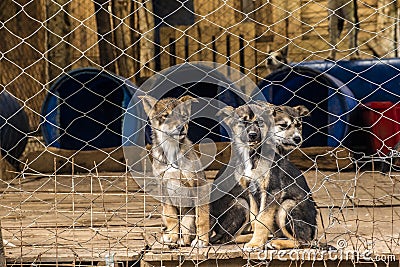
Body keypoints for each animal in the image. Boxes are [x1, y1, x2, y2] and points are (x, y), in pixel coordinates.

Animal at [140, 95, 209, 248]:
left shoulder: (198, 184)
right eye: (166, 116)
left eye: (183, 116)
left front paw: (202, 240)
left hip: (188, 214)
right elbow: (171, 216)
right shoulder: (163, 187)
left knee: (187, 231)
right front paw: (172, 236)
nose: (181, 127)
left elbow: (202, 217)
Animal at [211, 102, 318, 251]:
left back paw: (277, 242)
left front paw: (255, 243)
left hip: (287, 206)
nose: (253, 135)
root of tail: (313, 232)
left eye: (260, 122)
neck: (252, 154)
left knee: (303, 241)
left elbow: (262, 220)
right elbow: (255, 219)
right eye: (243, 122)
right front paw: (256, 241)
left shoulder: (271, 192)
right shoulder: (252, 193)